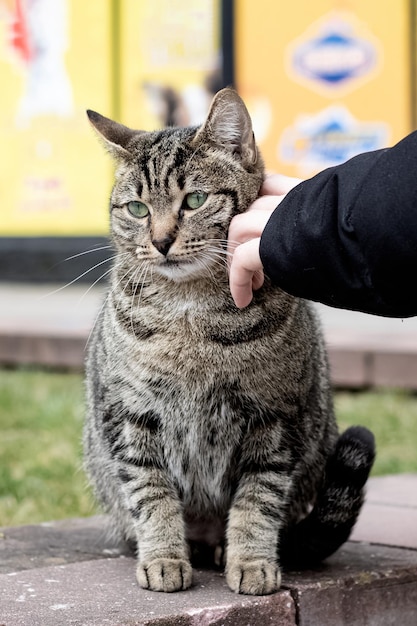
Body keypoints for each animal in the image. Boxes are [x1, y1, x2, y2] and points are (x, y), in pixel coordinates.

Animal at [83, 86, 374, 588]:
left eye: (195, 200)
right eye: (137, 209)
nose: (160, 241)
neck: (189, 311)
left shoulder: (275, 422)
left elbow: (257, 502)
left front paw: (252, 562)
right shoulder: (129, 417)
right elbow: (151, 495)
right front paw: (164, 558)